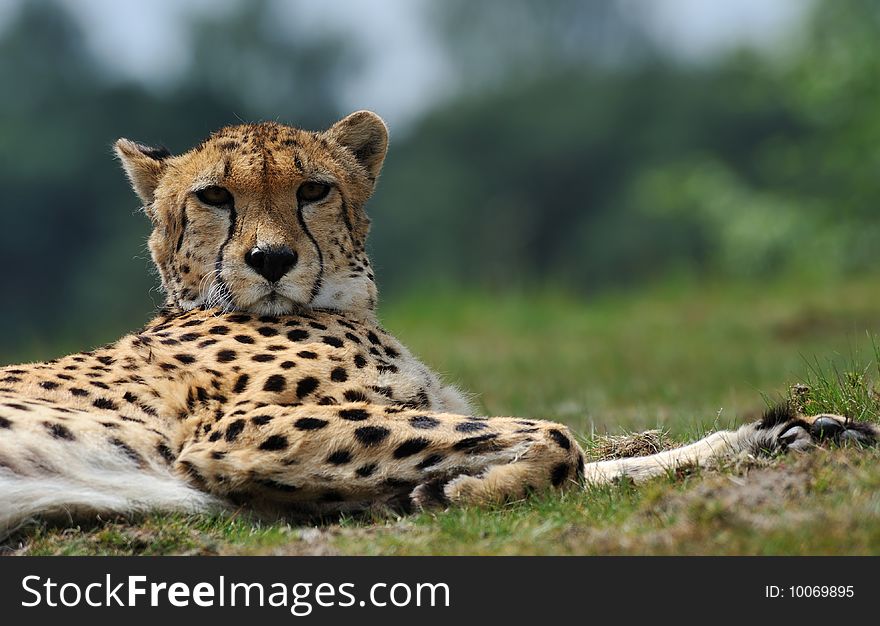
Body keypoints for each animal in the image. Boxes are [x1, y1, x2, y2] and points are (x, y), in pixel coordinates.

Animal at [0, 111, 876, 532]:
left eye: (313, 189)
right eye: (214, 197)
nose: (272, 260)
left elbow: (599, 463)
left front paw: (777, 436)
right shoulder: (240, 433)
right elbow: (559, 441)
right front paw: (467, 493)